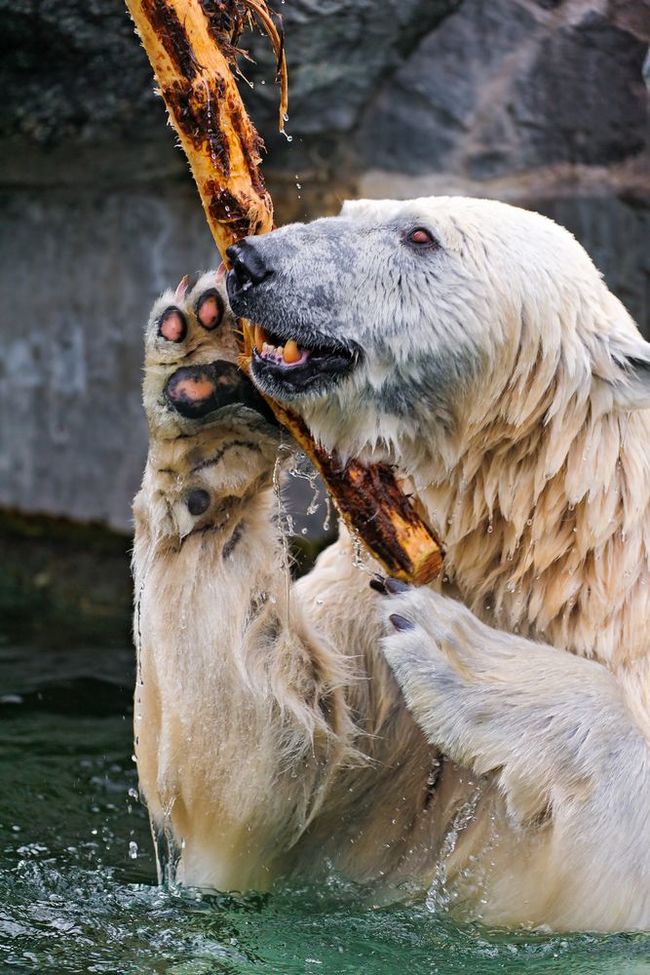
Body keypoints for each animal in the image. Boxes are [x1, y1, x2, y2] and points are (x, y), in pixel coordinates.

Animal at [133, 196, 648, 932]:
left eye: (420, 235)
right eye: (352, 209)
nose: (250, 263)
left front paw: (459, 653)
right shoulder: (364, 599)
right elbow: (263, 776)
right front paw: (202, 382)